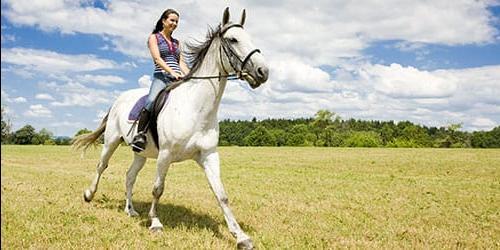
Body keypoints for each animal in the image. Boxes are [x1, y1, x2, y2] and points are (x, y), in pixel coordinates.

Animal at [72, 7, 268, 248]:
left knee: (129, 176)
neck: (196, 108)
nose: (263, 71)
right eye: (233, 39)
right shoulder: (165, 155)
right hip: (111, 142)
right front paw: (155, 222)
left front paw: (240, 236)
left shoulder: (209, 155)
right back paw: (89, 194)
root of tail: (119, 99)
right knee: (101, 166)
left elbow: (221, 194)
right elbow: (158, 189)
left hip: (141, 154)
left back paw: (130, 210)